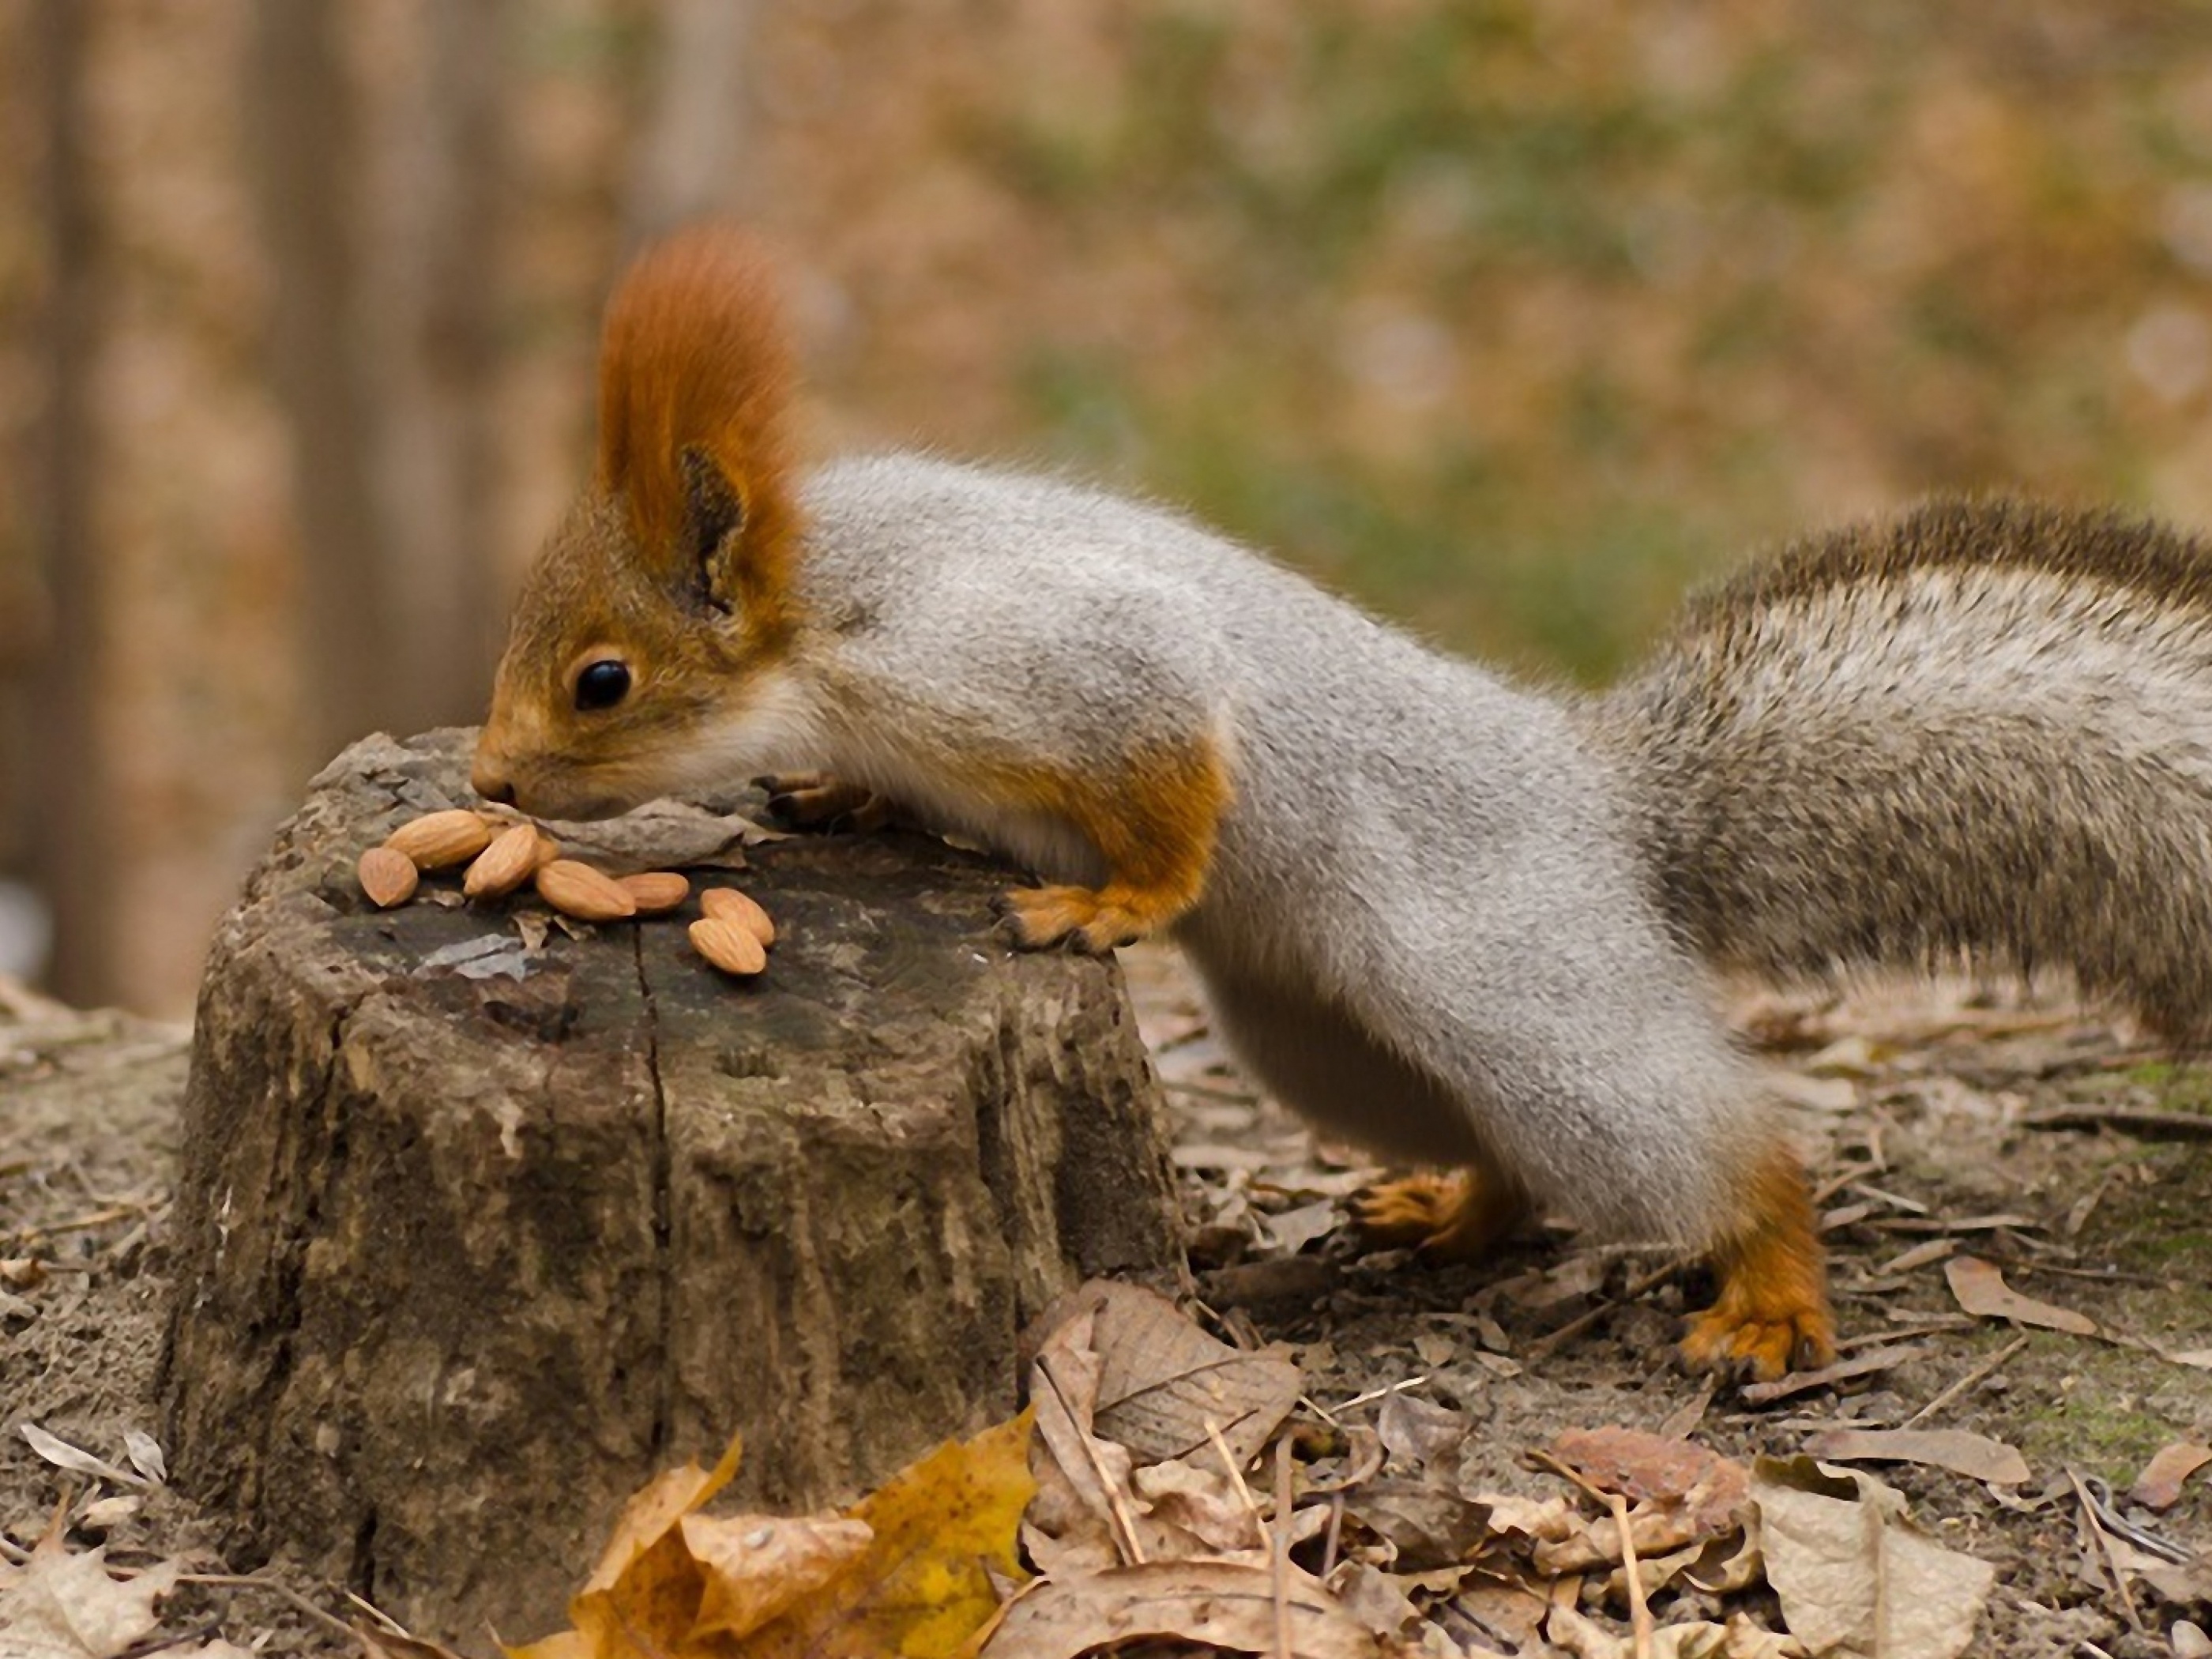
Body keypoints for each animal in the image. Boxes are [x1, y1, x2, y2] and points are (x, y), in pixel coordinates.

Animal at [466, 228, 2212, 1380]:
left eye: (602, 682)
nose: (488, 780)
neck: (824, 606)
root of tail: (1607, 806)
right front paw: (833, 795)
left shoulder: (1035, 659)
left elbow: (1172, 760)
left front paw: (1114, 898)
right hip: (1323, 1041)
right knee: (1505, 1160)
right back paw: (1448, 1214)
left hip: (1517, 995)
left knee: (1712, 1146)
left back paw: (1772, 1289)